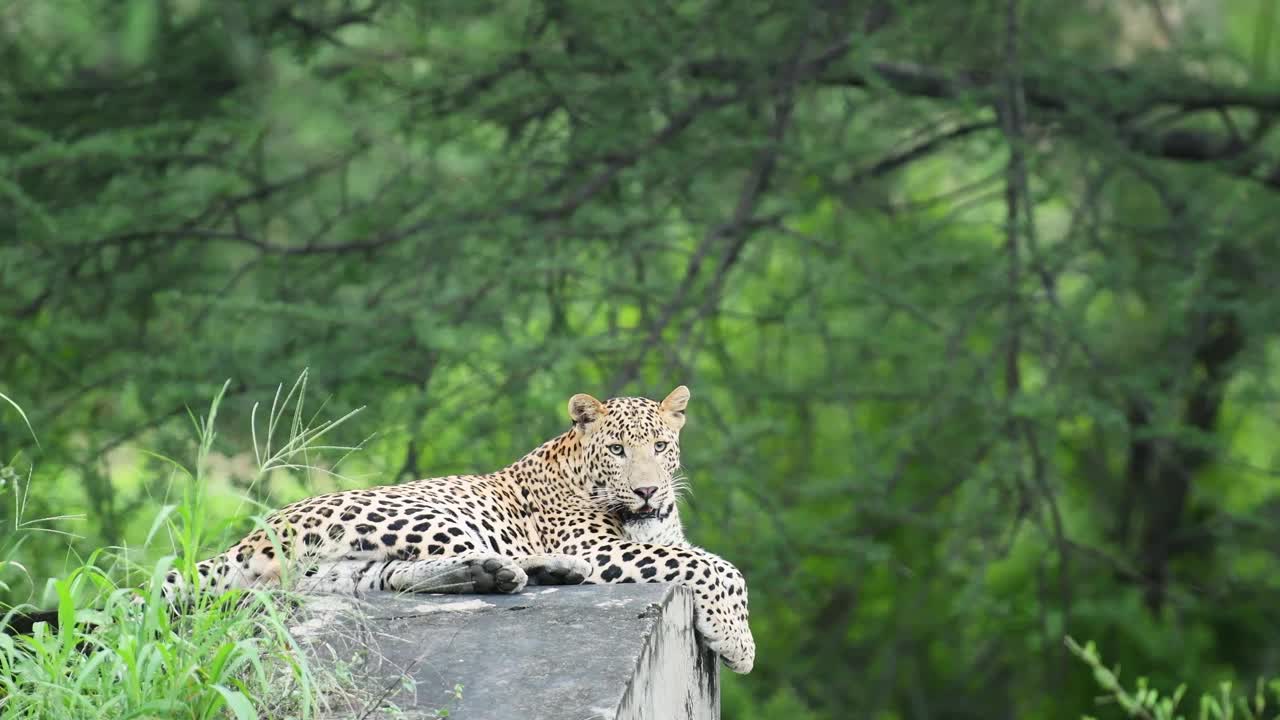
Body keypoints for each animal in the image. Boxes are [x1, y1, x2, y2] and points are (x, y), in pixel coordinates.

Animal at [165, 384, 752, 671]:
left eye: (660, 446)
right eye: (616, 450)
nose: (649, 490)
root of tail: (251, 536)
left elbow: (700, 557)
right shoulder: (599, 545)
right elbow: (716, 565)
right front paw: (739, 642)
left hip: (336, 571)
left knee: (394, 577)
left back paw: (523, 573)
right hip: (424, 512)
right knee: (455, 561)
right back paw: (528, 569)